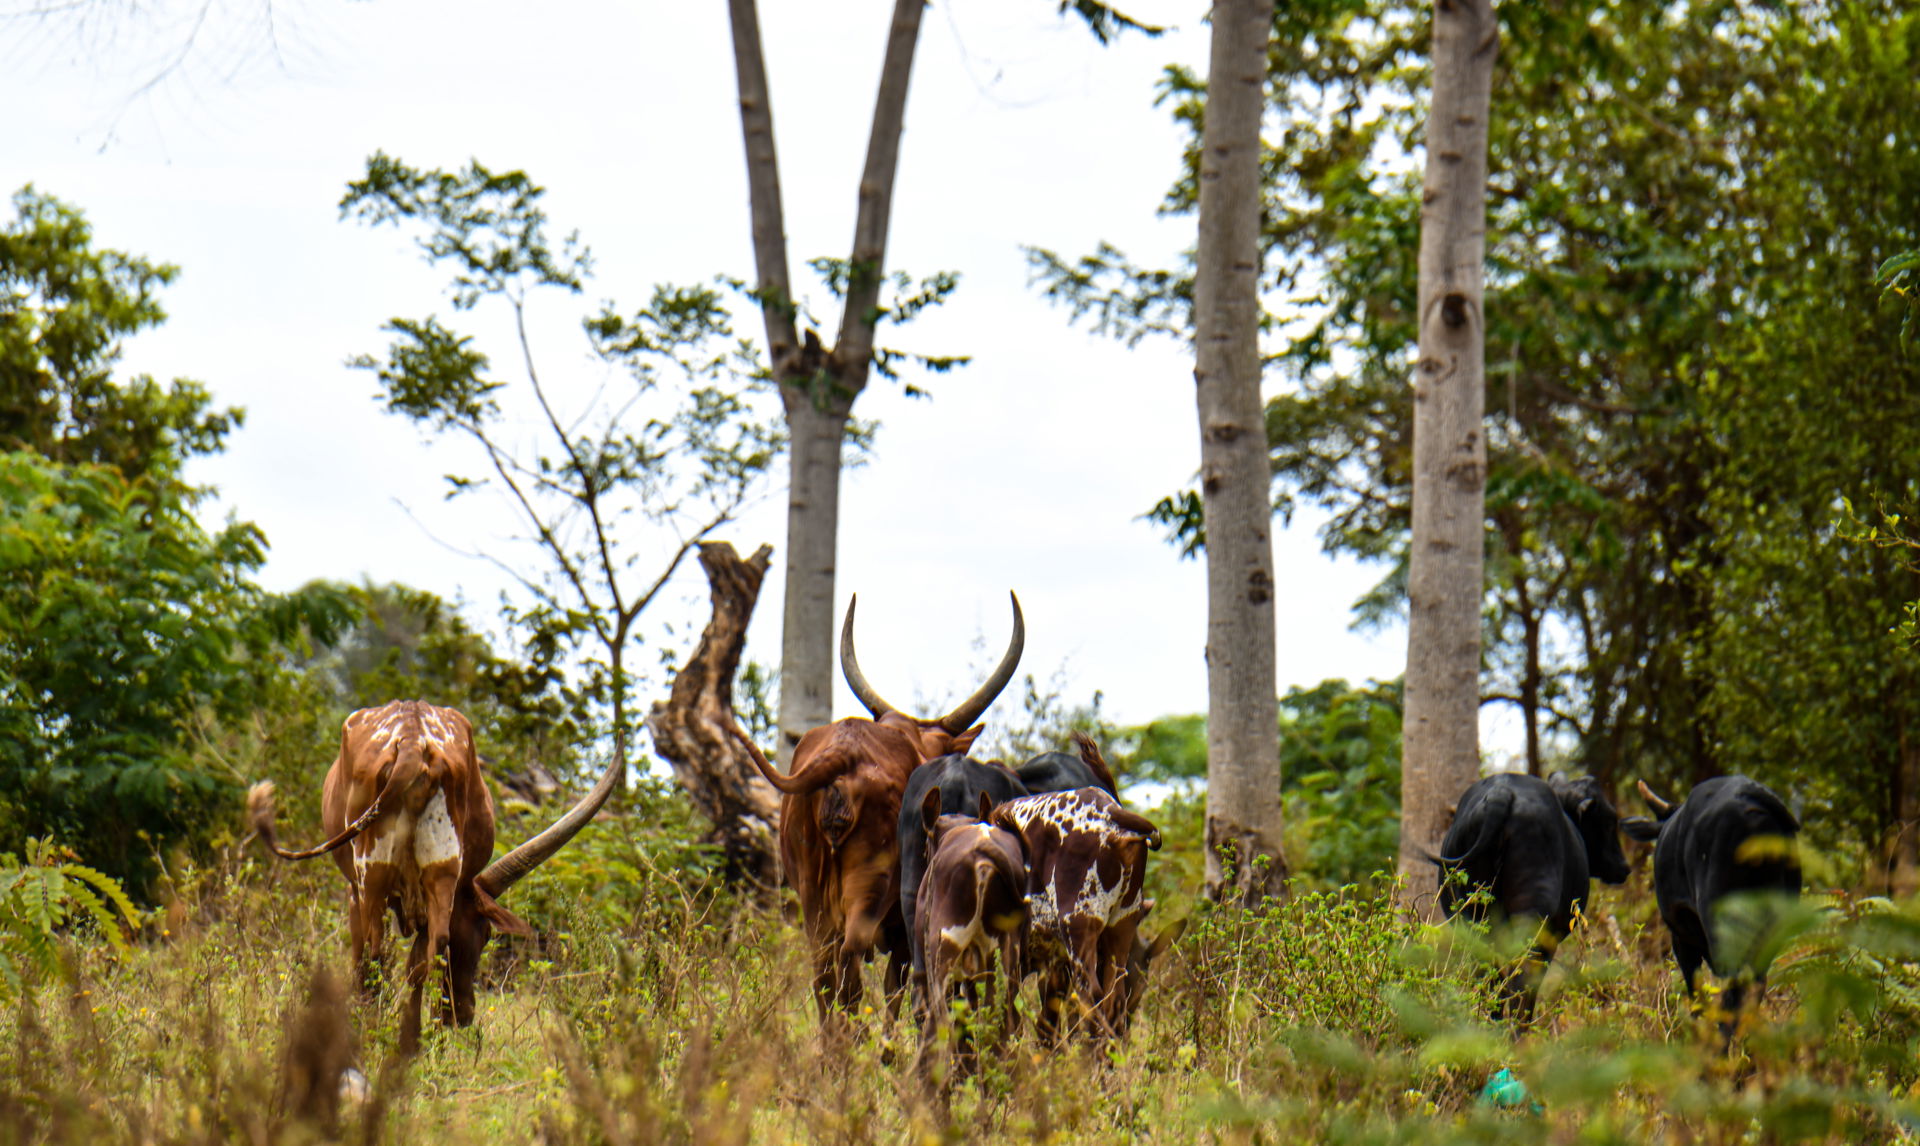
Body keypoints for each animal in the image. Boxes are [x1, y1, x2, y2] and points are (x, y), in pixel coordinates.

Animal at [246, 700, 618, 1051]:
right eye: (486, 934)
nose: (462, 1014)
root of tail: (413, 741)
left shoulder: (354, 889)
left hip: (372, 872)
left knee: (375, 954)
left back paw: (376, 1034)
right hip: (441, 868)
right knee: (430, 949)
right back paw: (411, 1044)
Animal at [989, 781, 1161, 1043]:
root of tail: (1110, 811)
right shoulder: (1052, 965)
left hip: (1079, 932)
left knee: (1091, 998)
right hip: (1119, 930)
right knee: (1114, 1002)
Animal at [1435, 772, 1633, 1023]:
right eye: (1608, 820)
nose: (1624, 867)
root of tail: (1502, 793)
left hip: (1474, 920)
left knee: (1490, 977)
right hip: (1532, 920)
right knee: (1521, 982)